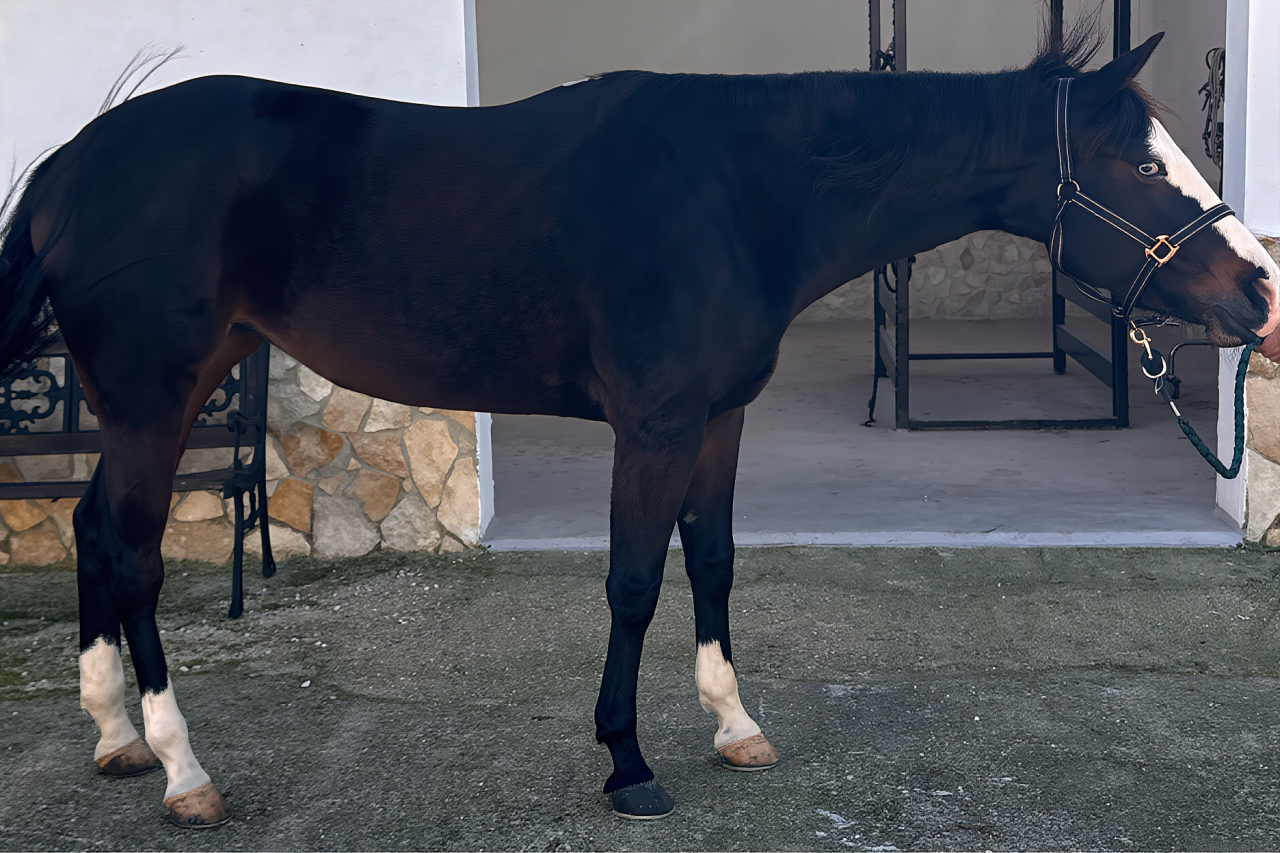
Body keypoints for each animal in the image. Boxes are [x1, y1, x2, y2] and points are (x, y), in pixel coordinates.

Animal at [1, 23, 1277, 826]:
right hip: (155, 395)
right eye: (1134, 165)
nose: (1257, 289)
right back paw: (181, 769)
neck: (736, 194)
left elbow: (709, 562)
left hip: (164, 390)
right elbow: (631, 580)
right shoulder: (653, 424)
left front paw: (734, 724)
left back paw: (115, 737)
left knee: (91, 530)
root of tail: (72, 160)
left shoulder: (714, 419)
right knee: (134, 554)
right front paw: (626, 761)